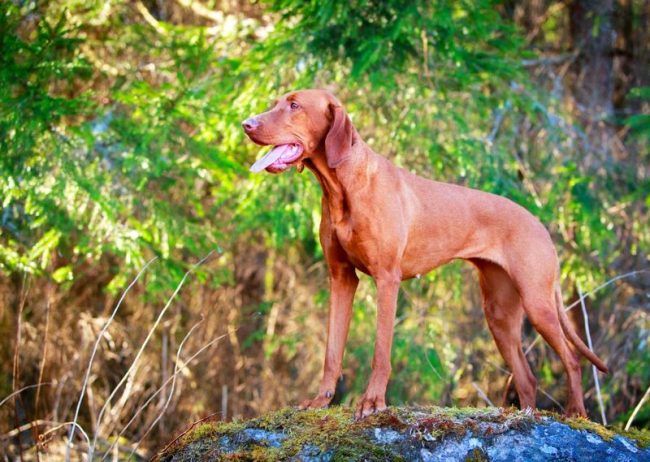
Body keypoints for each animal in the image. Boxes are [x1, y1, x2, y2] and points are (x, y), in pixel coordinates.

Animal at [240, 88, 604, 416]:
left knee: (572, 359)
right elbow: (332, 352)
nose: (246, 123)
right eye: (276, 102)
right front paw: (321, 401)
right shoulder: (342, 278)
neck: (343, 186)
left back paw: (576, 414)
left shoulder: (387, 279)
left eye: (294, 105)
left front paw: (372, 402)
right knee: (527, 378)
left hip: (537, 303)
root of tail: (541, 226)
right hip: (499, 313)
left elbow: (381, 352)